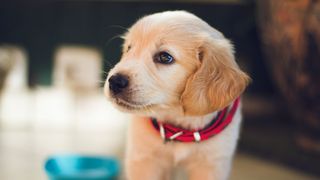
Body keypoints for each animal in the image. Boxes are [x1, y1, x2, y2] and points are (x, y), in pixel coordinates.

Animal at [104, 10, 250, 179]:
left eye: (165, 57)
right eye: (129, 48)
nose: (114, 82)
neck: (179, 127)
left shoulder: (212, 164)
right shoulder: (143, 159)